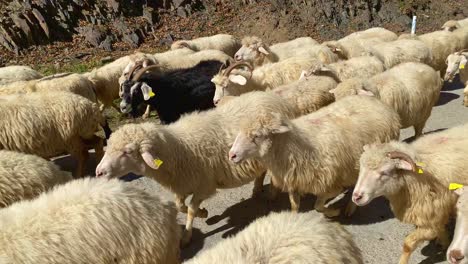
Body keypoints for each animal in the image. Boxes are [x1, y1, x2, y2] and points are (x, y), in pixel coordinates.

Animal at [96, 91, 296, 245]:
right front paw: (203, 213)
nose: (99, 172)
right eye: (109, 145)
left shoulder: (204, 186)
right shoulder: (182, 184)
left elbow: (191, 208)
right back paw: (257, 188)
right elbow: (179, 206)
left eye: (128, 151)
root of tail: (274, 98)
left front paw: (188, 233)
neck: (177, 150)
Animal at [229, 96, 400, 216]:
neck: (291, 147)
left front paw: (333, 212)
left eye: (257, 136)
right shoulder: (294, 180)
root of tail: (382, 105)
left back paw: (350, 209)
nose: (232, 155)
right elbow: (294, 205)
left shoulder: (330, 185)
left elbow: (317, 206)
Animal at [352, 124, 468, 264]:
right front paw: (444, 243)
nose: (356, 197)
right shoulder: (436, 215)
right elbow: (441, 231)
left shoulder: (431, 221)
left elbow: (408, 244)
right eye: (361, 168)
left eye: (385, 172)